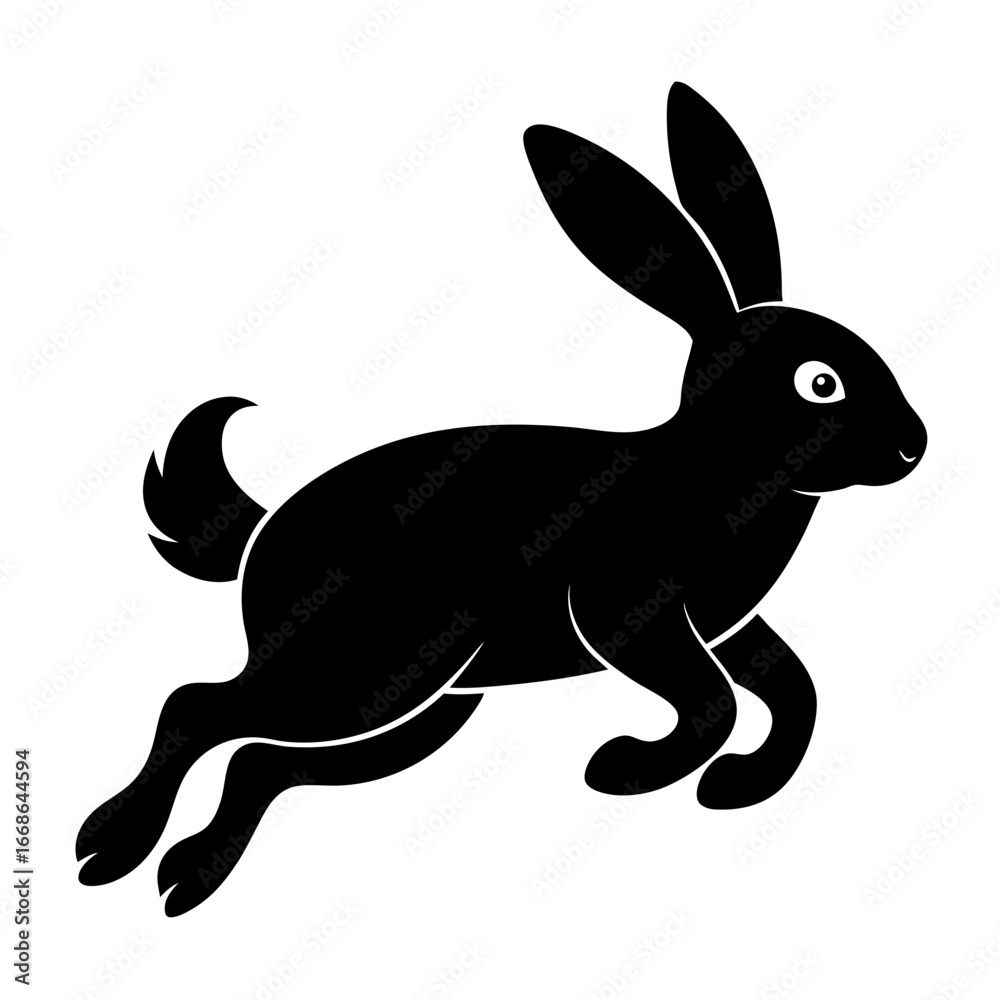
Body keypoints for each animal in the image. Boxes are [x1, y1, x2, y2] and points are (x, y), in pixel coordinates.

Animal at [76, 83, 926, 916]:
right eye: (821, 382)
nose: (914, 446)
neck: (713, 466)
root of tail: (261, 534)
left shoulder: (728, 629)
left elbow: (793, 692)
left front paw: (735, 786)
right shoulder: (630, 615)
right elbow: (714, 703)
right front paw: (624, 768)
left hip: (424, 700)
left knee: (262, 762)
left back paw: (189, 877)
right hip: (359, 670)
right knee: (196, 707)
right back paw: (108, 849)